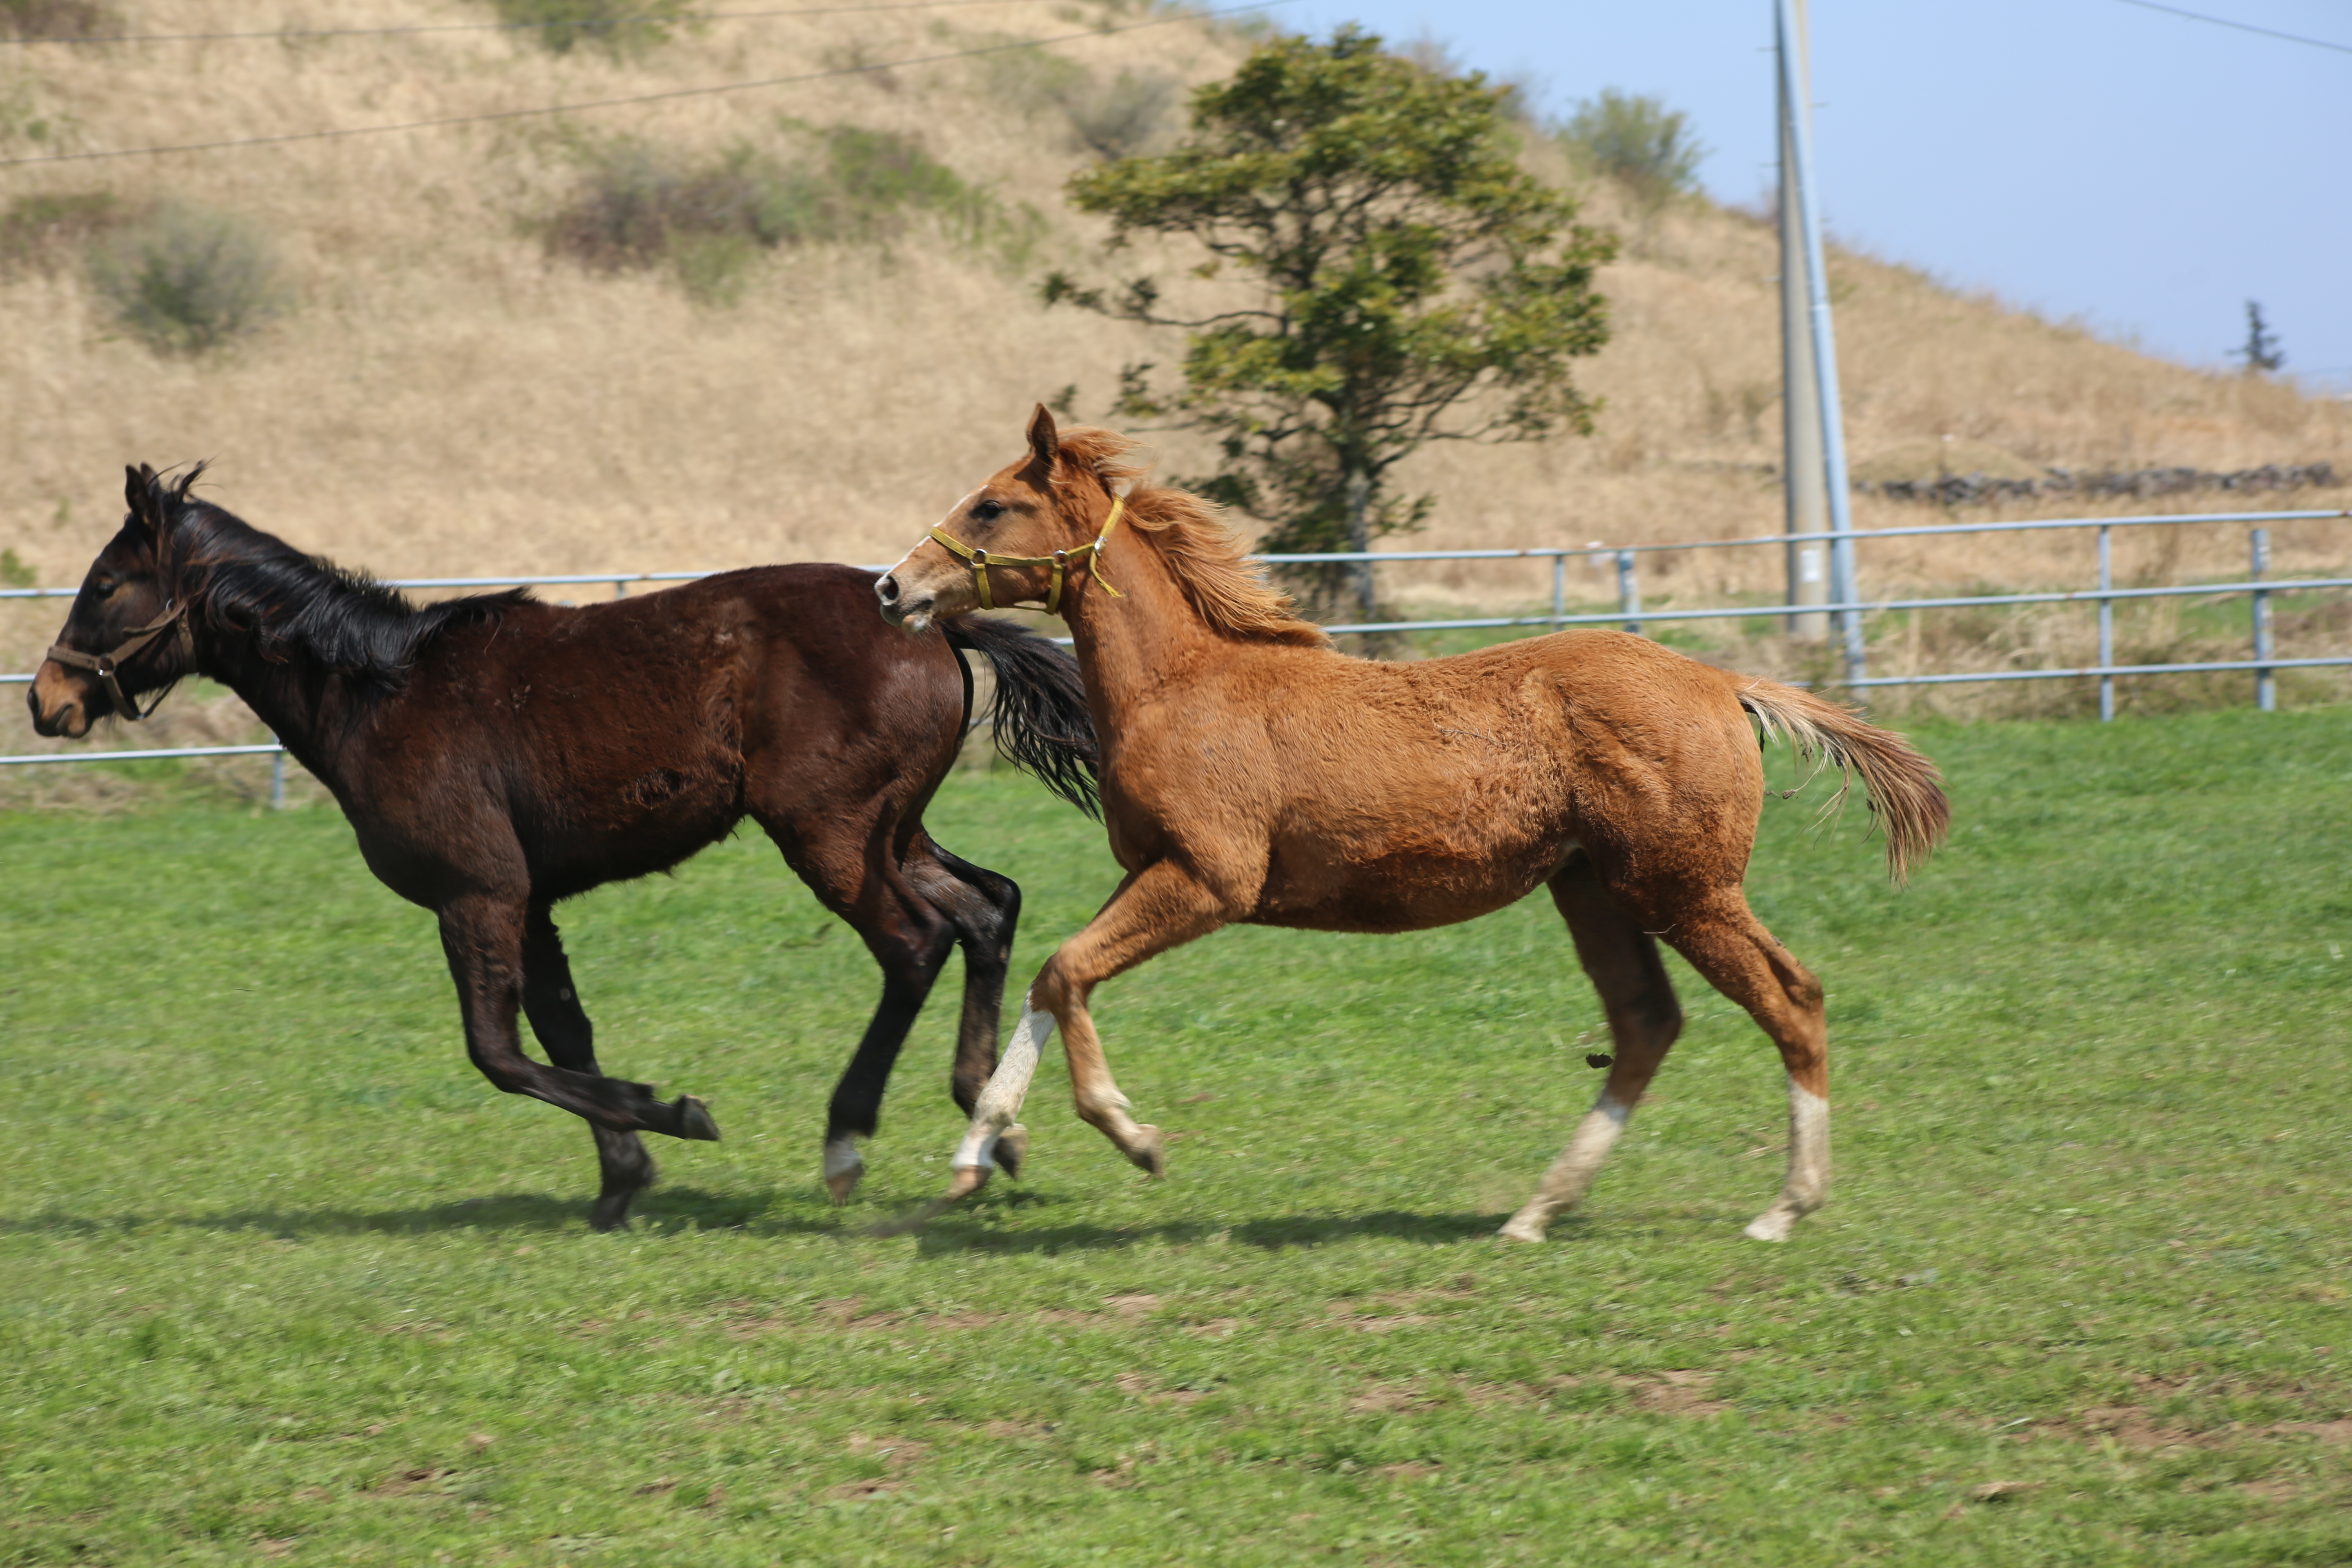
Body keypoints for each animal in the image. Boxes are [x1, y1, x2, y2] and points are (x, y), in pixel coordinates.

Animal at [34, 463, 1100, 1222]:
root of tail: (932, 623)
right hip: (892, 826)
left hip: (827, 831)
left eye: (107, 582)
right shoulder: (531, 901)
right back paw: (988, 1122)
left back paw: (851, 1139)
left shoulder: (478, 894)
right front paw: (622, 1173)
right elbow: (564, 1032)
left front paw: (669, 1115)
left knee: (915, 942)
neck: (381, 691)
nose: (48, 700)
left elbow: (499, 1052)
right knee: (987, 907)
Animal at [880, 411, 1947, 1241]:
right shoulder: (1149, 871)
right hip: (1594, 890)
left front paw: (1130, 1134)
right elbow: (1050, 978)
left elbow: (1066, 972)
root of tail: (1723, 682)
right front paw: (979, 1147)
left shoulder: (1208, 881)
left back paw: (1785, 1205)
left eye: (990, 505)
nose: (895, 586)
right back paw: (1535, 1212)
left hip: (1683, 889)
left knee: (1790, 997)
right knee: (1647, 1022)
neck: (1188, 684)